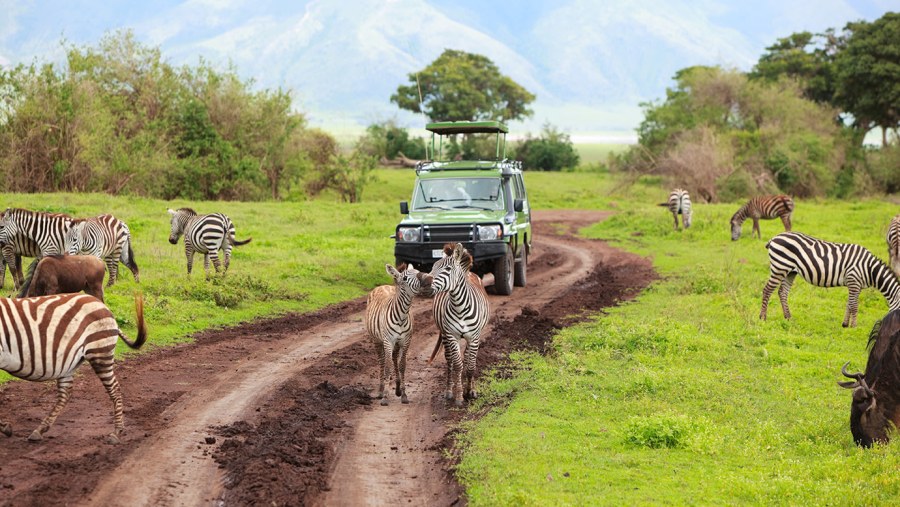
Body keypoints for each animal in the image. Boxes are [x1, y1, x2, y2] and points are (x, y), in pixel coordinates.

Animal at [0, 292, 147, 442]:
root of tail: (101, 304)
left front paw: (5, 427)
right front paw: (5, 427)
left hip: (100, 352)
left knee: (114, 388)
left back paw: (117, 432)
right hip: (69, 364)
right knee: (66, 393)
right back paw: (40, 430)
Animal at [368, 264, 434, 406]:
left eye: (418, 271)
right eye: (404, 278)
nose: (429, 279)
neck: (401, 316)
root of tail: (382, 286)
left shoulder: (406, 341)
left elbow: (402, 365)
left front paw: (403, 394)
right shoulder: (388, 341)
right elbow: (387, 367)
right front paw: (385, 397)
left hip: (396, 343)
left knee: (394, 358)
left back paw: (397, 388)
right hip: (377, 340)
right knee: (382, 362)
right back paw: (381, 390)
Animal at [428, 243, 492, 408]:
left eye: (447, 269)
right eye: (433, 266)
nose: (425, 282)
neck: (460, 306)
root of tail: (469, 273)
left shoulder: (474, 337)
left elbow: (470, 366)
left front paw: (470, 392)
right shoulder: (452, 336)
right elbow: (457, 365)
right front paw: (459, 396)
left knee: (469, 358)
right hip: (444, 334)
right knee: (450, 360)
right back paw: (449, 391)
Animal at [760, 232, 900, 328]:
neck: (869, 268)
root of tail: (775, 237)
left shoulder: (856, 285)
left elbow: (849, 303)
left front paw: (845, 324)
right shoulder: (853, 280)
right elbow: (854, 305)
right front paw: (854, 326)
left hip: (790, 271)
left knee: (782, 292)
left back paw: (788, 317)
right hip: (779, 267)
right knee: (767, 290)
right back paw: (763, 318)